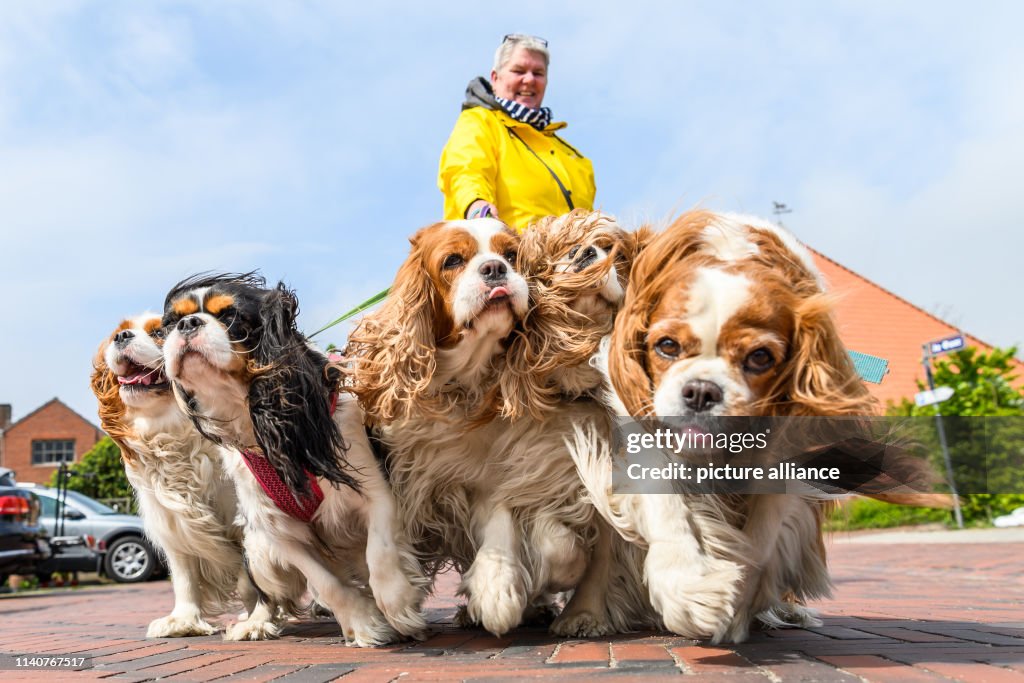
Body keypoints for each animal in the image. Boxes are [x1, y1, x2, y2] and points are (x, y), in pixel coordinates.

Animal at [90, 313, 262, 638]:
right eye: (120, 332)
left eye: (158, 332)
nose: (122, 338)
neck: (169, 430)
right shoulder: (174, 520)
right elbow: (184, 575)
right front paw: (183, 620)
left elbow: (250, 575)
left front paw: (257, 618)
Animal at [159, 274, 423, 647]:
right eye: (168, 325)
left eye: (230, 316)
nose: (187, 324)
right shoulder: (277, 529)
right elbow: (328, 584)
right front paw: (364, 623)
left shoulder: (376, 492)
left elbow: (381, 552)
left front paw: (399, 604)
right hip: (256, 549)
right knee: (267, 594)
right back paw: (255, 623)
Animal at [344, 220, 618, 643]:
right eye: (453, 260)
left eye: (511, 256)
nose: (494, 269)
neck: (459, 385)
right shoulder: (399, 474)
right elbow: (381, 538)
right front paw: (396, 600)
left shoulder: (499, 468)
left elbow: (505, 524)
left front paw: (496, 590)